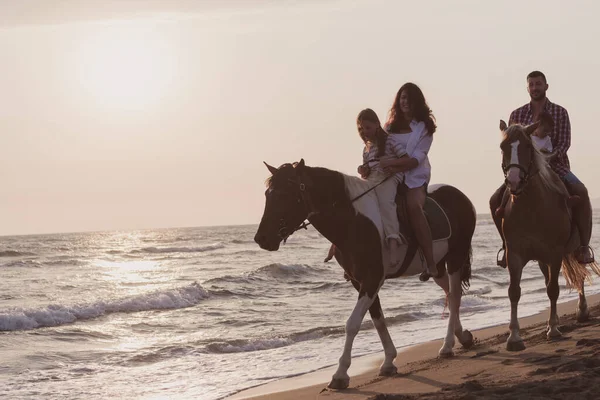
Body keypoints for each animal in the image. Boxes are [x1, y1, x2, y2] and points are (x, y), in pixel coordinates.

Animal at [255, 160, 476, 390]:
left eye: (284, 194)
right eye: (267, 194)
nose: (261, 238)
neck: (352, 222)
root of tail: (460, 196)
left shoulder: (372, 279)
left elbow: (352, 324)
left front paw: (340, 374)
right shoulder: (359, 281)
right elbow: (378, 320)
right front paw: (388, 362)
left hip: (456, 257)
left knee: (455, 296)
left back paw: (447, 345)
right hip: (438, 266)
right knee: (451, 294)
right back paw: (462, 336)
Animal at [496, 120, 600, 352]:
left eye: (527, 146)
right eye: (503, 147)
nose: (514, 181)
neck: (531, 207)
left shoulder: (555, 253)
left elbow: (553, 290)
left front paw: (553, 329)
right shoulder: (515, 255)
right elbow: (514, 291)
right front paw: (514, 338)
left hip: (573, 250)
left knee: (579, 275)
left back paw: (581, 311)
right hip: (542, 259)